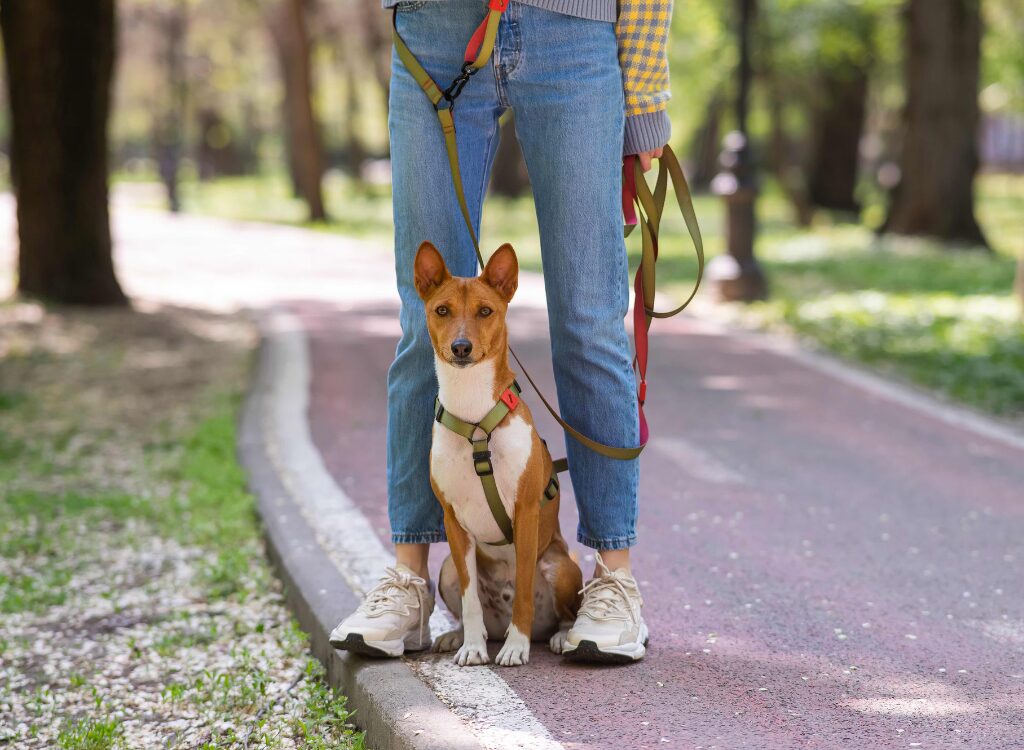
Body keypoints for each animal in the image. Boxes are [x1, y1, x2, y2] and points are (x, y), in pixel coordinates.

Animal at [409, 241, 581, 668]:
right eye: (442, 310)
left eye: (485, 311)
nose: (461, 347)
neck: (474, 418)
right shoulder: (454, 521)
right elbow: (470, 601)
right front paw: (472, 646)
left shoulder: (525, 512)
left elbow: (523, 592)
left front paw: (517, 649)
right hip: (446, 569)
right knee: (475, 610)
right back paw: (458, 636)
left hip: (559, 565)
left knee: (561, 614)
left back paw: (557, 637)